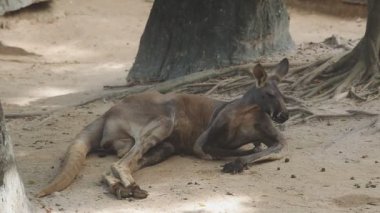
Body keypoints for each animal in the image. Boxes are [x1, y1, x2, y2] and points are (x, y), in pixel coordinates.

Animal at [37, 57, 290, 198]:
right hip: (164, 119)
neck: (250, 111)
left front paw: (241, 160)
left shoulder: (269, 134)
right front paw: (235, 160)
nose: (285, 115)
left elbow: (275, 149)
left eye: (283, 95)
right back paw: (131, 188)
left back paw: (122, 190)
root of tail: (107, 112)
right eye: (270, 95)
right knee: (120, 163)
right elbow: (212, 150)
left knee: (112, 166)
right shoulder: (206, 137)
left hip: (163, 146)